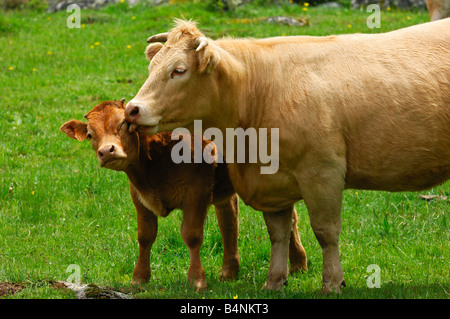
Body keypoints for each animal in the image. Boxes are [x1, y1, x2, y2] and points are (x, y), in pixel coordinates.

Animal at [59, 101, 308, 292]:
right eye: (90, 134)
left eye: (123, 124)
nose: (106, 151)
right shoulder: (139, 196)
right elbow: (145, 236)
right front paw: (139, 278)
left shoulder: (197, 192)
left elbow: (192, 235)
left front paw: (197, 280)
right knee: (230, 221)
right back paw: (234, 271)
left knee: (286, 219)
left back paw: (296, 265)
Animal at [125, 18, 450, 294]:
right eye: (151, 67)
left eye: (178, 70)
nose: (132, 108)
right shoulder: (272, 182)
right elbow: (278, 233)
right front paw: (275, 280)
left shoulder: (322, 174)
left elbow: (325, 232)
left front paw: (332, 282)